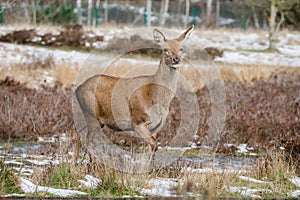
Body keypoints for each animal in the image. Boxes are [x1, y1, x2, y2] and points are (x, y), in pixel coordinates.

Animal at [74, 25, 193, 161]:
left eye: (181, 49)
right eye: (165, 49)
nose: (176, 59)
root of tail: (78, 88)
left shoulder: (157, 126)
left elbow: (152, 148)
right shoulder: (138, 121)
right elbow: (153, 145)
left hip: (95, 120)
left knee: (77, 135)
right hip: (91, 114)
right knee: (86, 140)